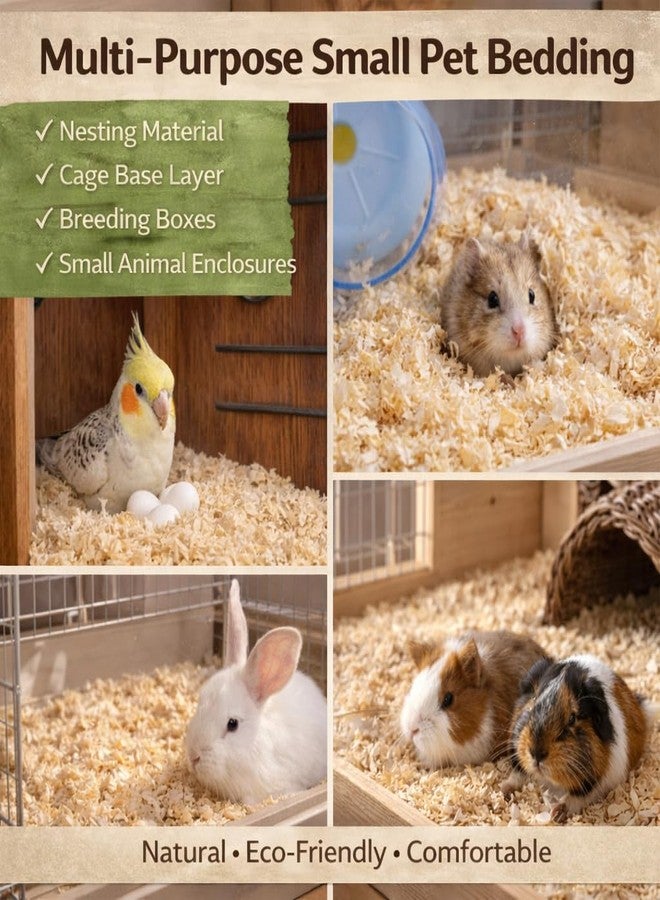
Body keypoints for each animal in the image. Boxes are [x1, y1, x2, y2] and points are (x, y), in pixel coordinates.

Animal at [502, 654, 651, 822]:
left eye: (573, 718)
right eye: (533, 703)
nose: (537, 753)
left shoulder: (594, 783)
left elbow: (576, 798)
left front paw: (556, 813)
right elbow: (518, 775)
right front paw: (505, 791)